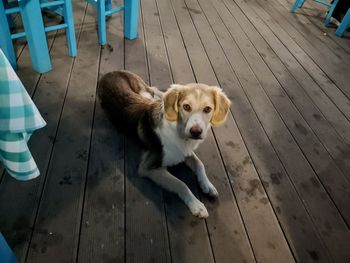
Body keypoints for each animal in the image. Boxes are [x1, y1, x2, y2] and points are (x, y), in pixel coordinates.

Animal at [98, 70, 231, 219]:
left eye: (208, 109)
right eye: (186, 107)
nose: (196, 132)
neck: (180, 133)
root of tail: (109, 73)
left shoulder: (185, 151)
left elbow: (199, 164)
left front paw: (207, 185)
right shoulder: (148, 167)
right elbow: (181, 183)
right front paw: (196, 205)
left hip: (144, 92)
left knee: (155, 91)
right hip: (143, 92)